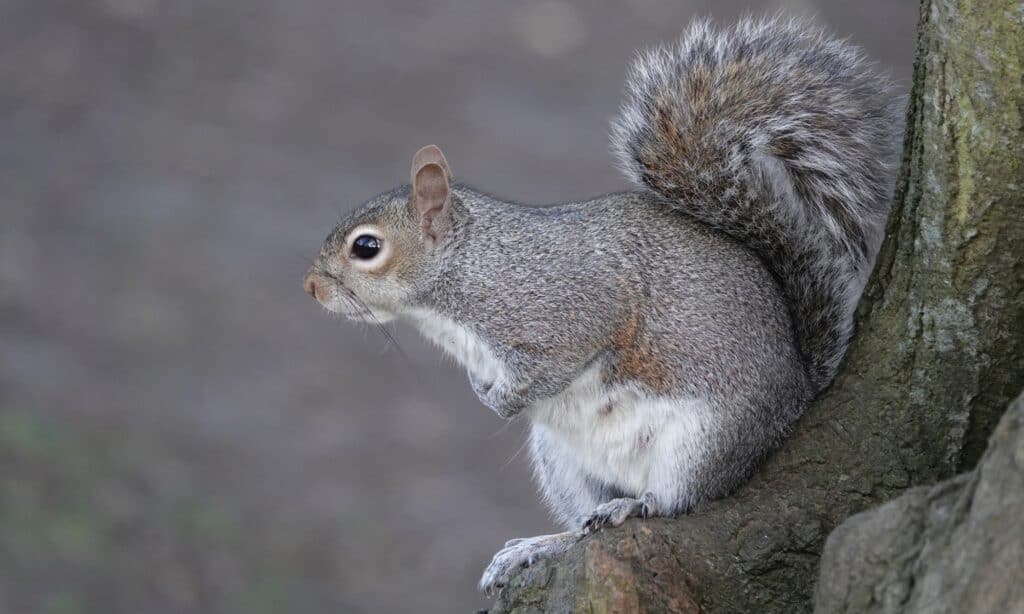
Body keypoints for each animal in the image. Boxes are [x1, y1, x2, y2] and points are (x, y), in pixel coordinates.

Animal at [303, 16, 905, 593]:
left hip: (704, 439)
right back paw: (538, 546)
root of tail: (796, 393)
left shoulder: (569, 311)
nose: (310, 287)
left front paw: (502, 401)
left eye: (366, 247)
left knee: (676, 501)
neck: (470, 272)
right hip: (564, 464)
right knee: (582, 526)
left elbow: (557, 364)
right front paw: (482, 390)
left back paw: (632, 504)